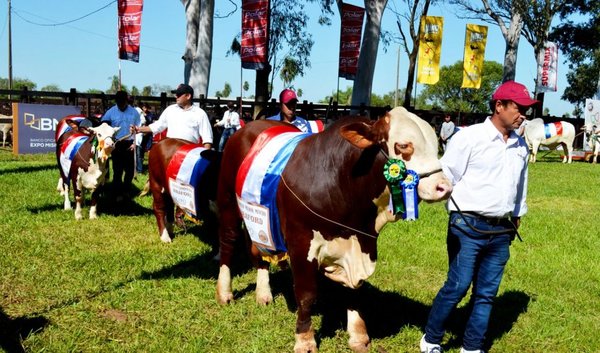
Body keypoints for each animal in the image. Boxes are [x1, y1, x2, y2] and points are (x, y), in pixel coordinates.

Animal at [214, 106, 450, 352]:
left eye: (435, 144)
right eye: (403, 145)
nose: (443, 187)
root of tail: (250, 127)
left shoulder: (362, 243)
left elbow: (355, 290)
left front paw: (358, 335)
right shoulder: (301, 243)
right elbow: (306, 294)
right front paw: (305, 339)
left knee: (259, 251)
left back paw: (263, 294)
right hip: (227, 201)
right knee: (228, 242)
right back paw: (224, 293)